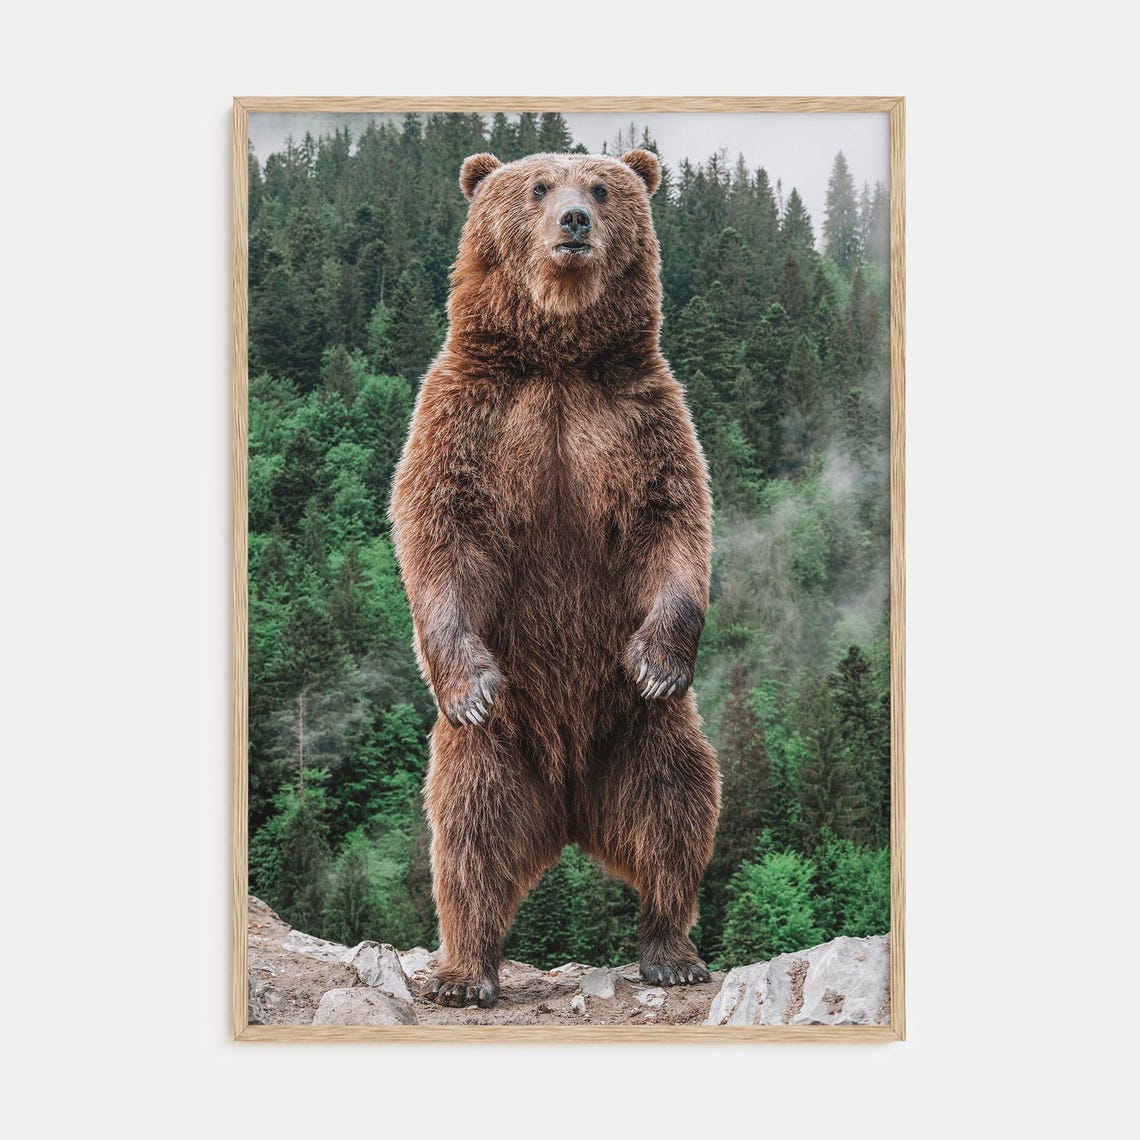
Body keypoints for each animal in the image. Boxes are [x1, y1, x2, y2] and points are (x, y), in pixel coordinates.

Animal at [389, 147, 720, 1008]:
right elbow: (440, 530)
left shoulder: (640, 418)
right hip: (497, 752)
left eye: (601, 188)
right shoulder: (471, 415)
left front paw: (656, 659)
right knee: (468, 837)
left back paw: (671, 950)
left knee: (677, 808)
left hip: (642, 733)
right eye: (538, 187)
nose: (573, 221)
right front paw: (469, 681)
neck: (559, 358)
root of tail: (570, 809)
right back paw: (464, 972)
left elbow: (673, 525)